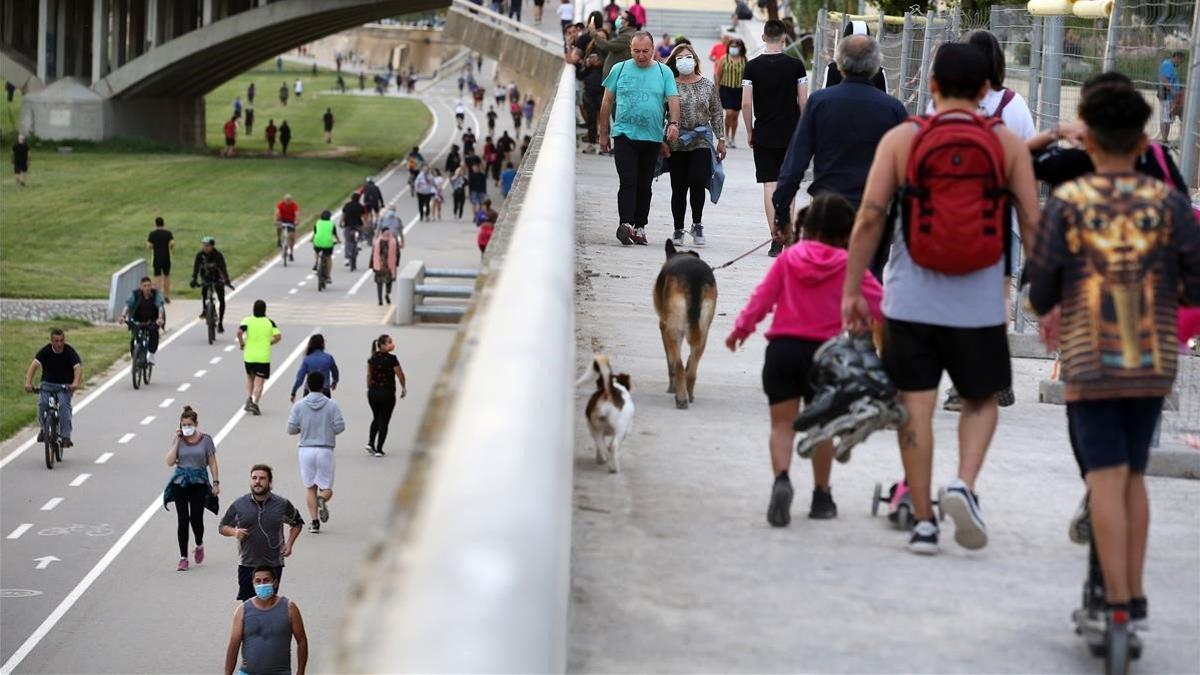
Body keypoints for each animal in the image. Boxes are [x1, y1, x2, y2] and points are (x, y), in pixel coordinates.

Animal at [657, 237, 710, 403]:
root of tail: (694, 277)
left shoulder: (664, 328)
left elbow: (671, 363)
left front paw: (671, 387)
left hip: (673, 329)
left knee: (678, 365)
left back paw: (680, 397)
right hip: (703, 331)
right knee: (692, 366)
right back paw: (689, 393)